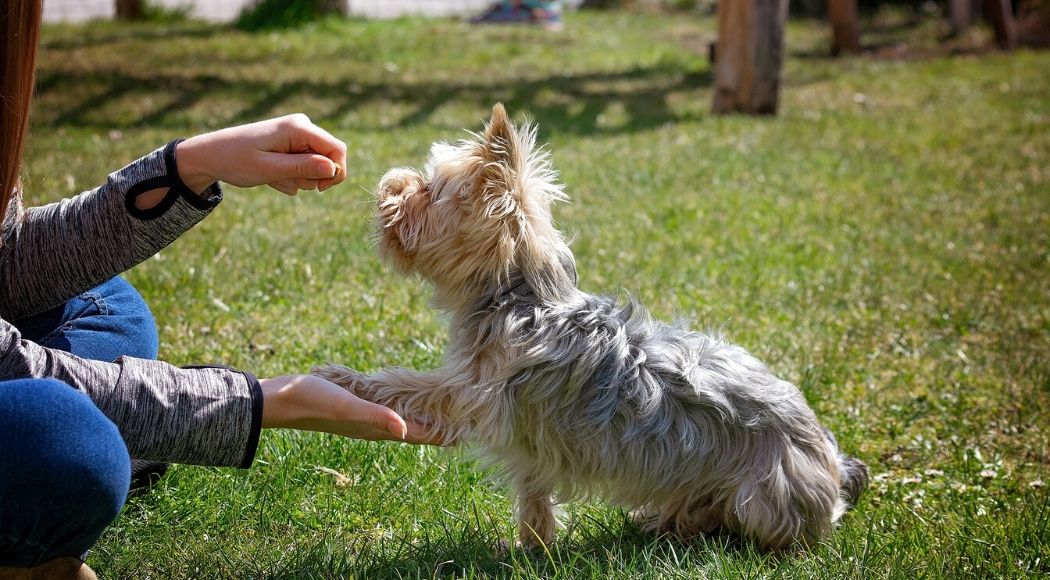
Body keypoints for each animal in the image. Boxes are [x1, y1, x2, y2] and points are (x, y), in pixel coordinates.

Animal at [312, 104, 869, 554]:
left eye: (429, 190)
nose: (389, 184)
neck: (517, 295)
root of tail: (833, 462)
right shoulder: (528, 441)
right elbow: (534, 495)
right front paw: (531, 549)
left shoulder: (472, 394)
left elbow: (407, 384)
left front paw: (341, 378)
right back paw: (663, 520)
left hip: (764, 496)